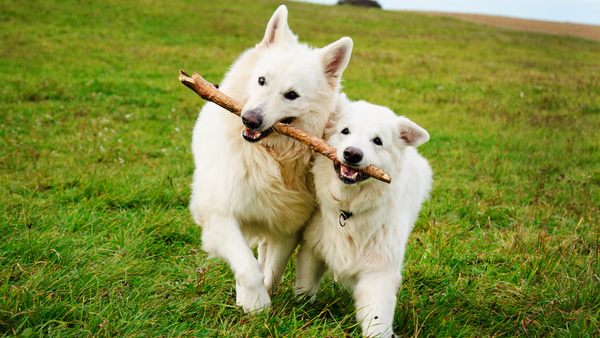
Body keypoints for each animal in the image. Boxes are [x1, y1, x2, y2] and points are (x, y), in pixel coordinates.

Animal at [190, 5, 354, 312]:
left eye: (291, 95)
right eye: (262, 80)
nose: (249, 119)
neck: (271, 157)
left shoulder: (287, 226)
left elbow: (272, 269)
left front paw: (260, 300)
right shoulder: (218, 214)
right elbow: (247, 265)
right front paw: (255, 304)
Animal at [294, 95, 432, 338]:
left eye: (377, 141)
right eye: (345, 131)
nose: (352, 154)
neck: (348, 209)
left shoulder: (379, 273)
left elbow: (377, 319)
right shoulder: (312, 250)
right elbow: (305, 287)